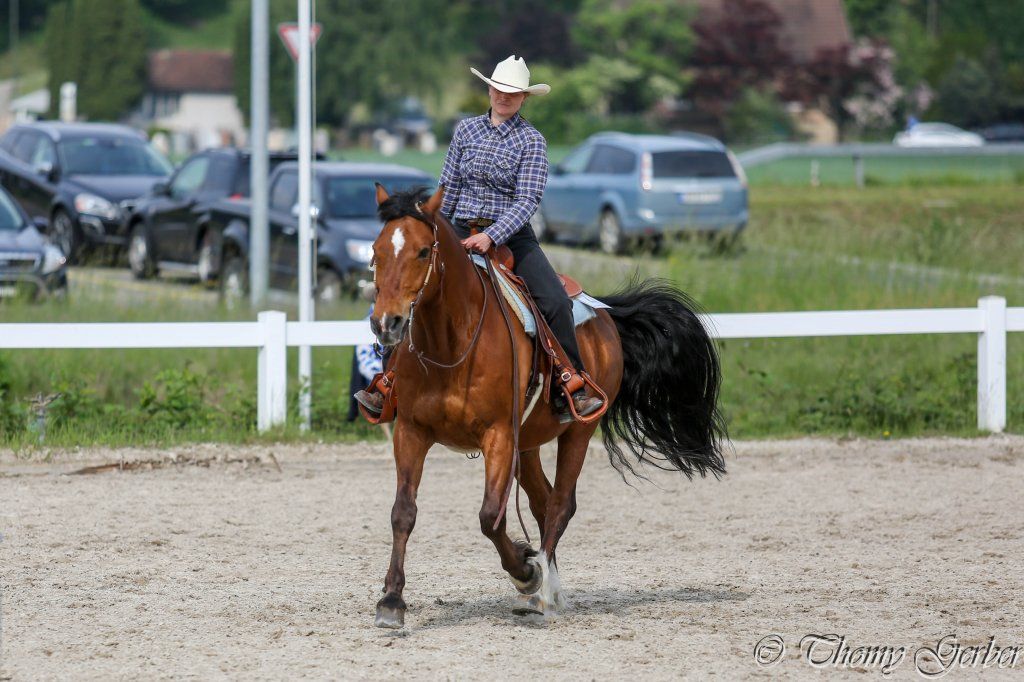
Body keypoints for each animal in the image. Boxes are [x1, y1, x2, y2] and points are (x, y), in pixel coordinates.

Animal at [367, 183, 726, 628]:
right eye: (376, 251)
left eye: (421, 251)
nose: (386, 323)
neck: (452, 342)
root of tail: (605, 315)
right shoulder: (411, 432)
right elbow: (403, 512)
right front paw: (391, 601)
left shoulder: (498, 437)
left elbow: (490, 516)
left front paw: (525, 572)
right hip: (528, 445)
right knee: (542, 504)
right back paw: (545, 581)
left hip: (577, 432)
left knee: (560, 505)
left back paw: (543, 595)